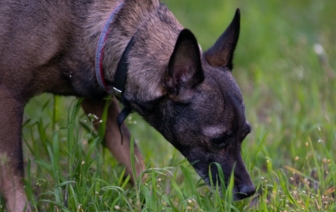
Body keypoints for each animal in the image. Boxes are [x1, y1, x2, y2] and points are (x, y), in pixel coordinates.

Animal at [0, 0, 255, 210]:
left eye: (245, 135)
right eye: (218, 140)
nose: (249, 191)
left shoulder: (98, 104)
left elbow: (133, 157)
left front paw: (156, 201)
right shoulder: (8, 98)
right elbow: (14, 169)